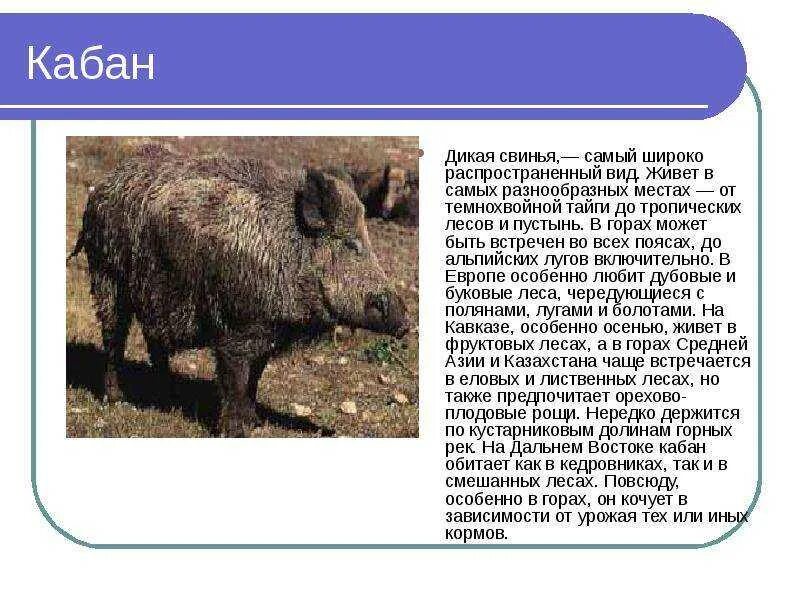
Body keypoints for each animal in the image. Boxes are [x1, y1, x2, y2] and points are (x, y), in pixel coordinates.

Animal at [70, 153, 410, 436]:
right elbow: (235, 378)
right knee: (114, 336)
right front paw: (236, 431)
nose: (407, 322)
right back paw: (116, 399)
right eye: (352, 244)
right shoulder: (236, 326)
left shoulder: (267, 334)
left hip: (154, 296)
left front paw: (255, 423)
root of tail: (101, 187)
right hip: (107, 275)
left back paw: (167, 395)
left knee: (154, 342)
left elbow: (254, 378)